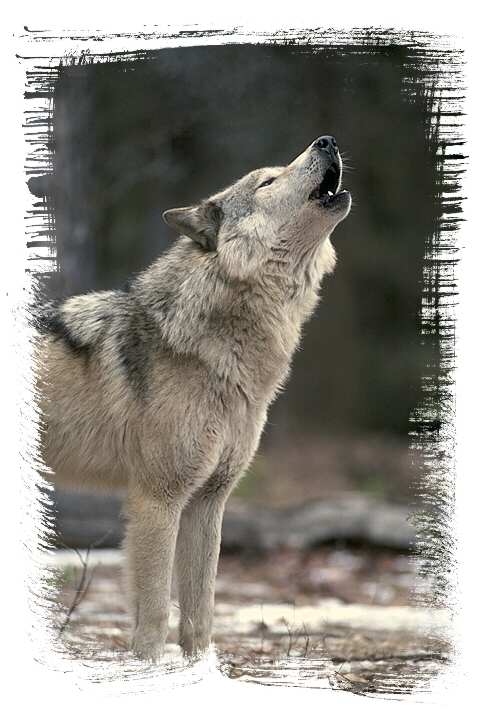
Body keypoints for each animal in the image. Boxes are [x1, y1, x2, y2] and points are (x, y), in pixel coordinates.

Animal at [36, 135, 351, 661]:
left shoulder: (208, 502)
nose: (327, 141)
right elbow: (154, 618)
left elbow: (200, 616)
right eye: (267, 180)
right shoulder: (156, 501)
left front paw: (198, 671)